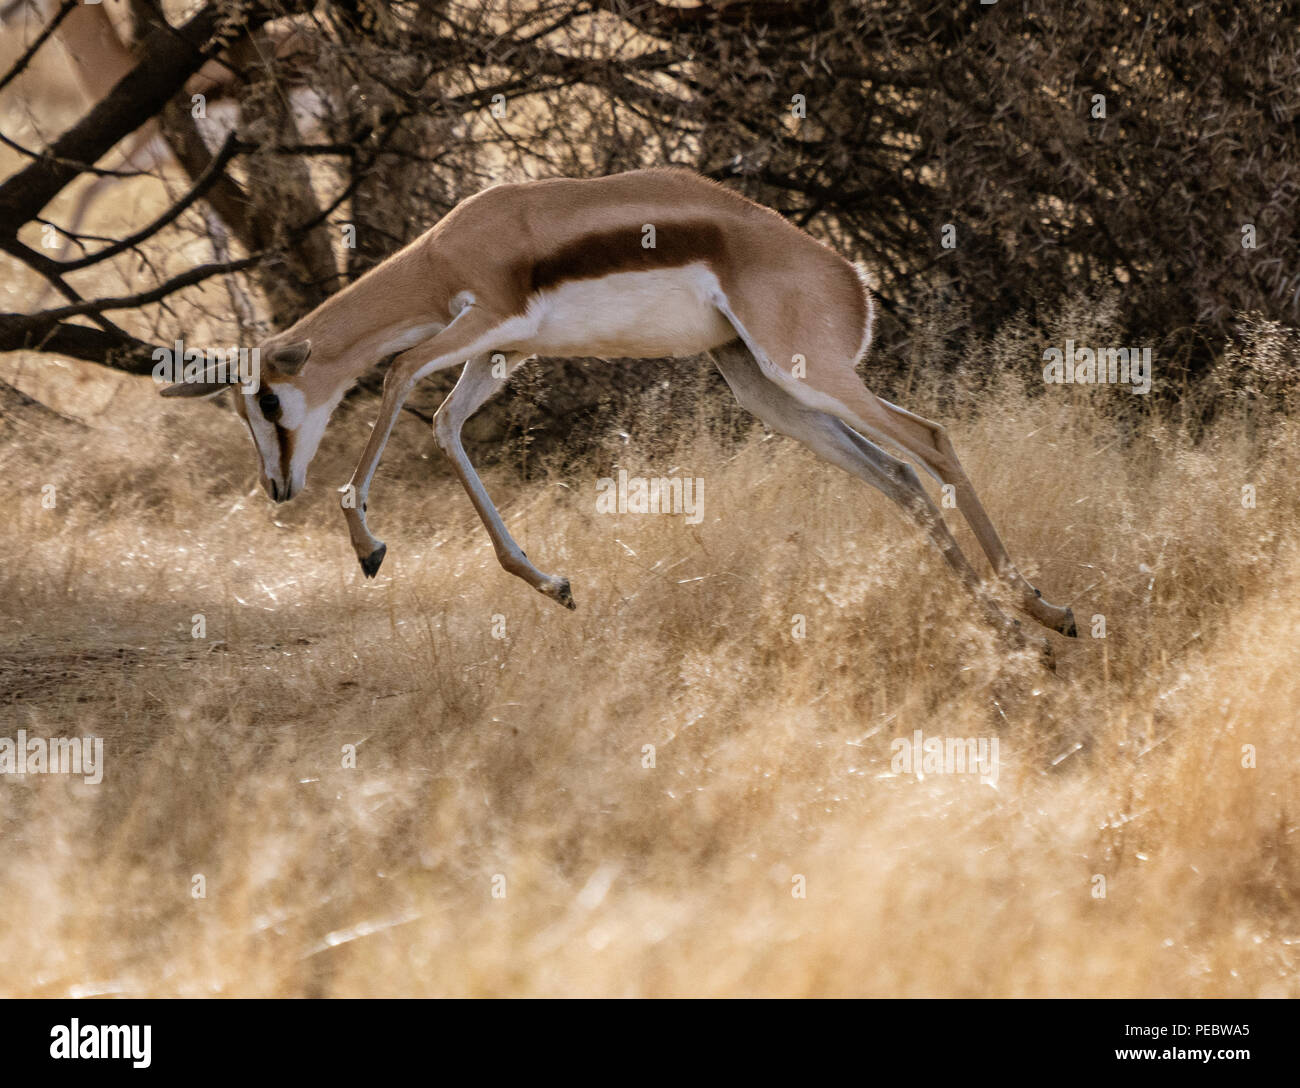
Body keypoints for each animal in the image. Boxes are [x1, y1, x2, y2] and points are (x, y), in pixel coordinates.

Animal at [162, 170, 1076, 644]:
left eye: (269, 402)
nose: (277, 487)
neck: (451, 246)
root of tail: (849, 274)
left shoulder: (483, 324)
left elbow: (396, 380)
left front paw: (369, 546)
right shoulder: (502, 352)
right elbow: (450, 427)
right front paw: (552, 583)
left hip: (807, 371)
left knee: (931, 438)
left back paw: (1046, 611)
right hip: (764, 387)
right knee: (896, 474)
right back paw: (1010, 631)